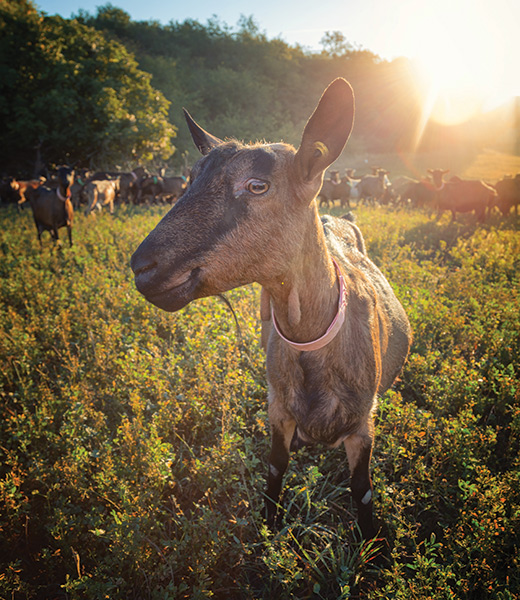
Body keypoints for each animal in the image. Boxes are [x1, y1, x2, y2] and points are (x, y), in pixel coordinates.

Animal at [129, 79, 410, 540]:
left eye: (257, 185)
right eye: (189, 178)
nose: (142, 267)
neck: (312, 338)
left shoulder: (362, 428)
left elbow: (363, 490)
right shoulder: (277, 411)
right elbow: (275, 471)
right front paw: (267, 530)